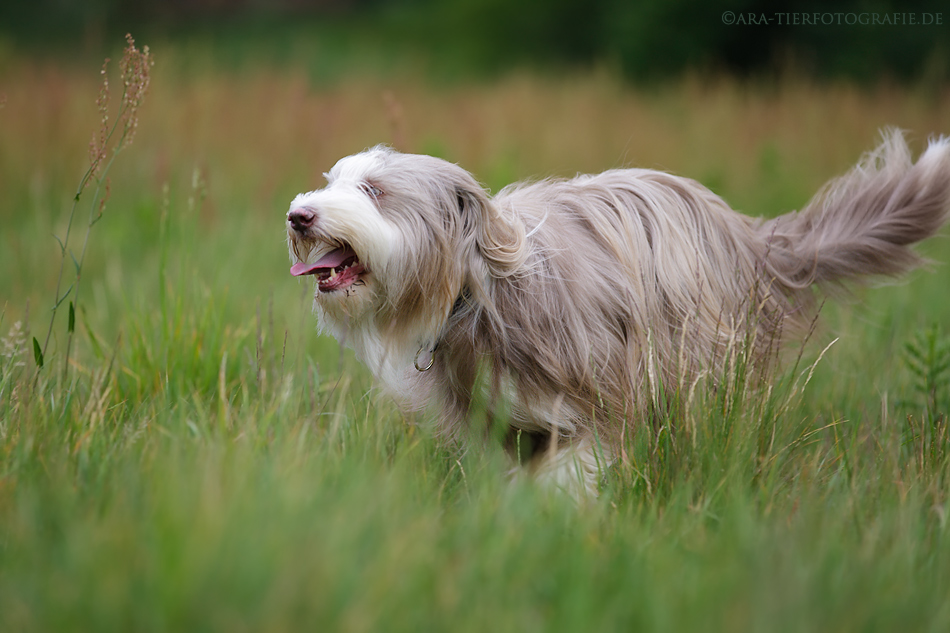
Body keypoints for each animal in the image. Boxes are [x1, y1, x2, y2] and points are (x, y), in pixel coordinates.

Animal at [284, 130, 950, 494]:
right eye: (333, 180)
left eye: (374, 192)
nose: (299, 214)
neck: (477, 292)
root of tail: (750, 236)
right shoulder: (501, 418)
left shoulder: (605, 391)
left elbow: (584, 462)